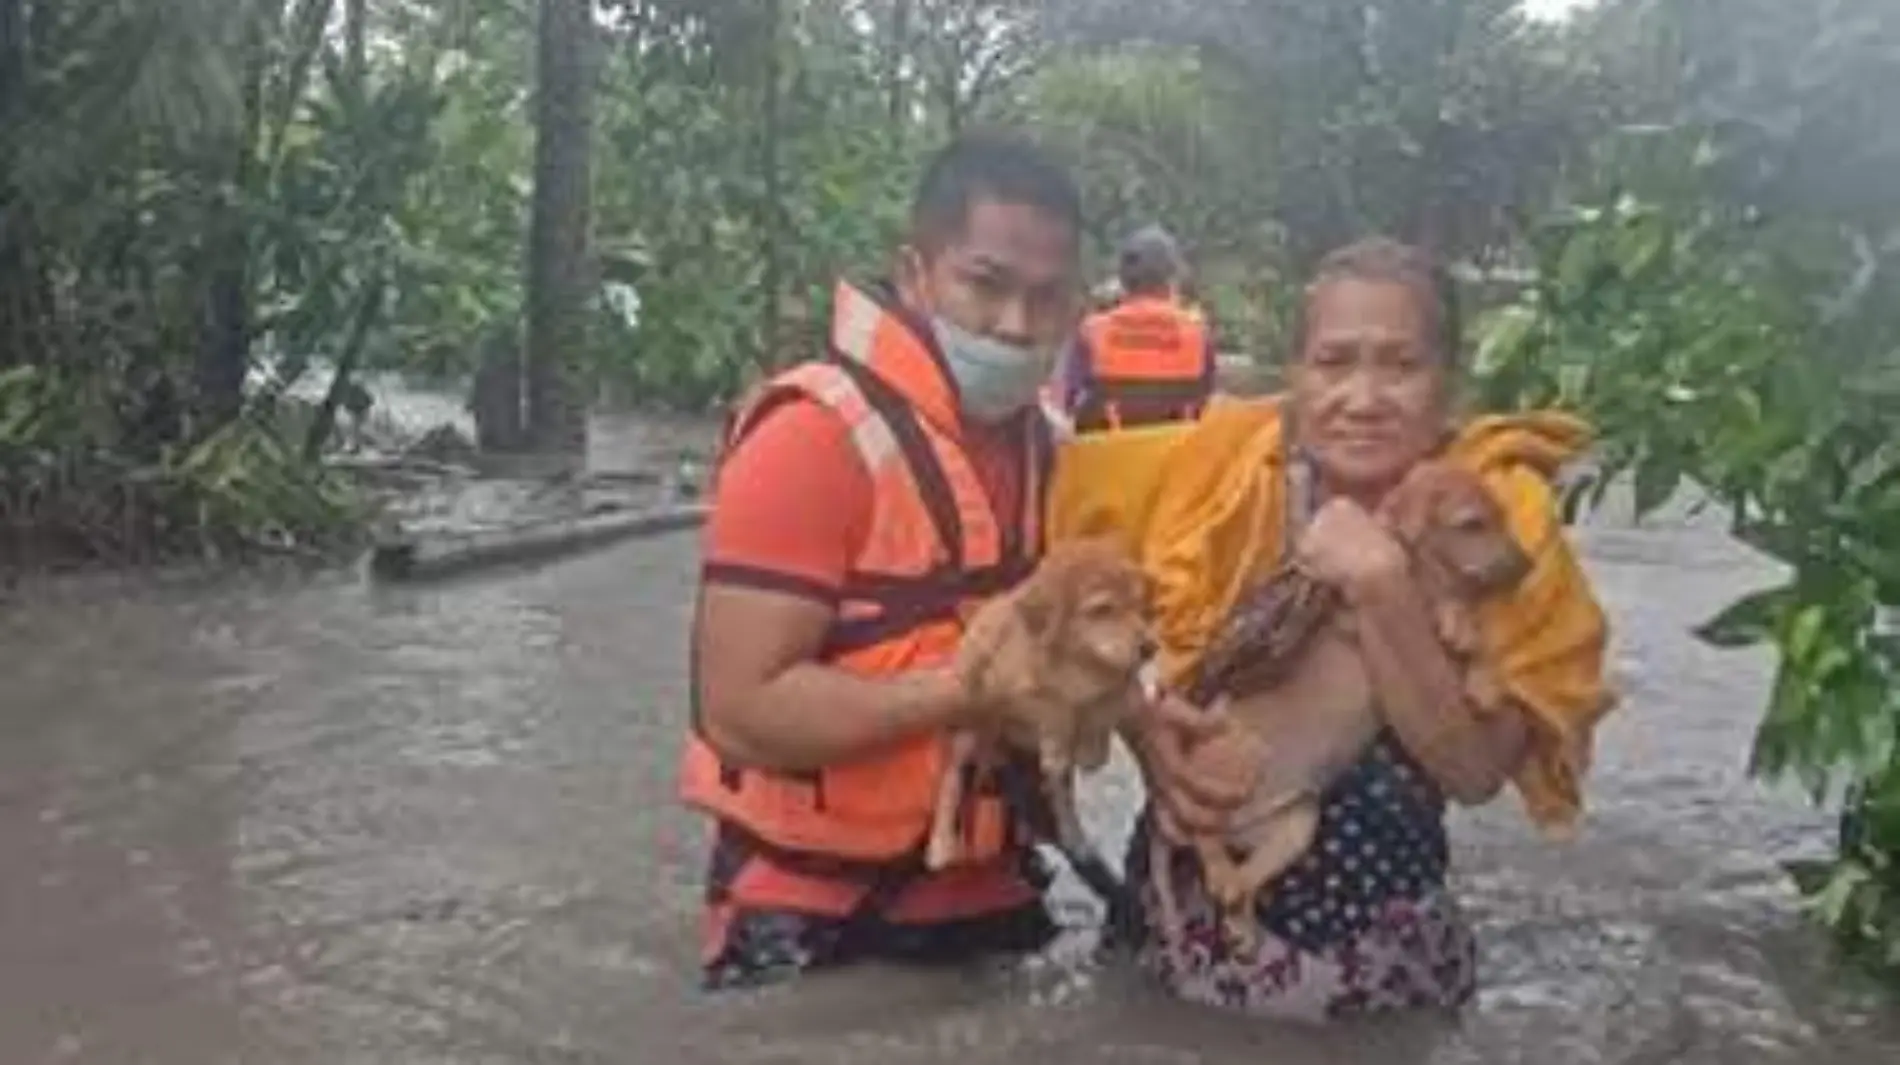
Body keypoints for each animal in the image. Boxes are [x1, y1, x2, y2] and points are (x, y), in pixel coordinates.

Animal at [927, 535, 1147, 884]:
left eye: (1139, 606)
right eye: (1102, 609)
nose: (1150, 647)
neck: (1077, 661)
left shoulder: (1117, 685)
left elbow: (1102, 704)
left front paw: (1092, 749)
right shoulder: (1012, 687)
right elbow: (1053, 706)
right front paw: (1059, 740)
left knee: (1062, 797)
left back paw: (1074, 835)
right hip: (966, 732)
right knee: (953, 776)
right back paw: (939, 844)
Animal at [1155, 457, 1542, 945]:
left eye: (1504, 518)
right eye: (1472, 524)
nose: (1526, 566)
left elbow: (1470, 639)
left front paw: (1483, 677)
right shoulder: (1359, 612)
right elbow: (1435, 603)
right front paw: (1458, 622)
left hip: (1298, 824)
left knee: (1244, 876)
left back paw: (1240, 917)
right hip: (1233, 764)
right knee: (1203, 836)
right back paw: (1223, 878)